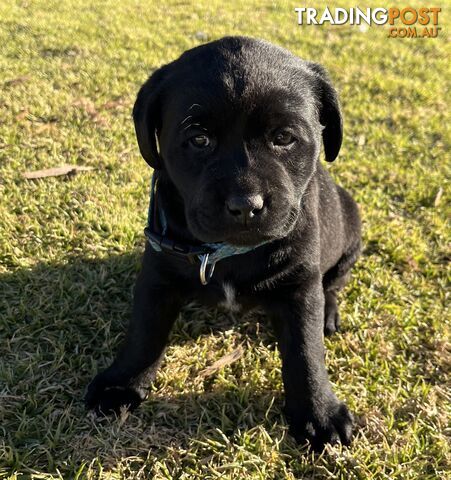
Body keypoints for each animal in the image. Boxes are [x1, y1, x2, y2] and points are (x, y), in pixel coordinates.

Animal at [85, 35, 362, 452]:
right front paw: (121, 384)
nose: (246, 205)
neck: (227, 253)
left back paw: (328, 312)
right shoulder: (158, 274)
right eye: (199, 139)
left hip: (351, 228)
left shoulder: (299, 286)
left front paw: (319, 413)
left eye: (284, 138)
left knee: (331, 284)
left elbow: (305, 351)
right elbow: (144, 334)